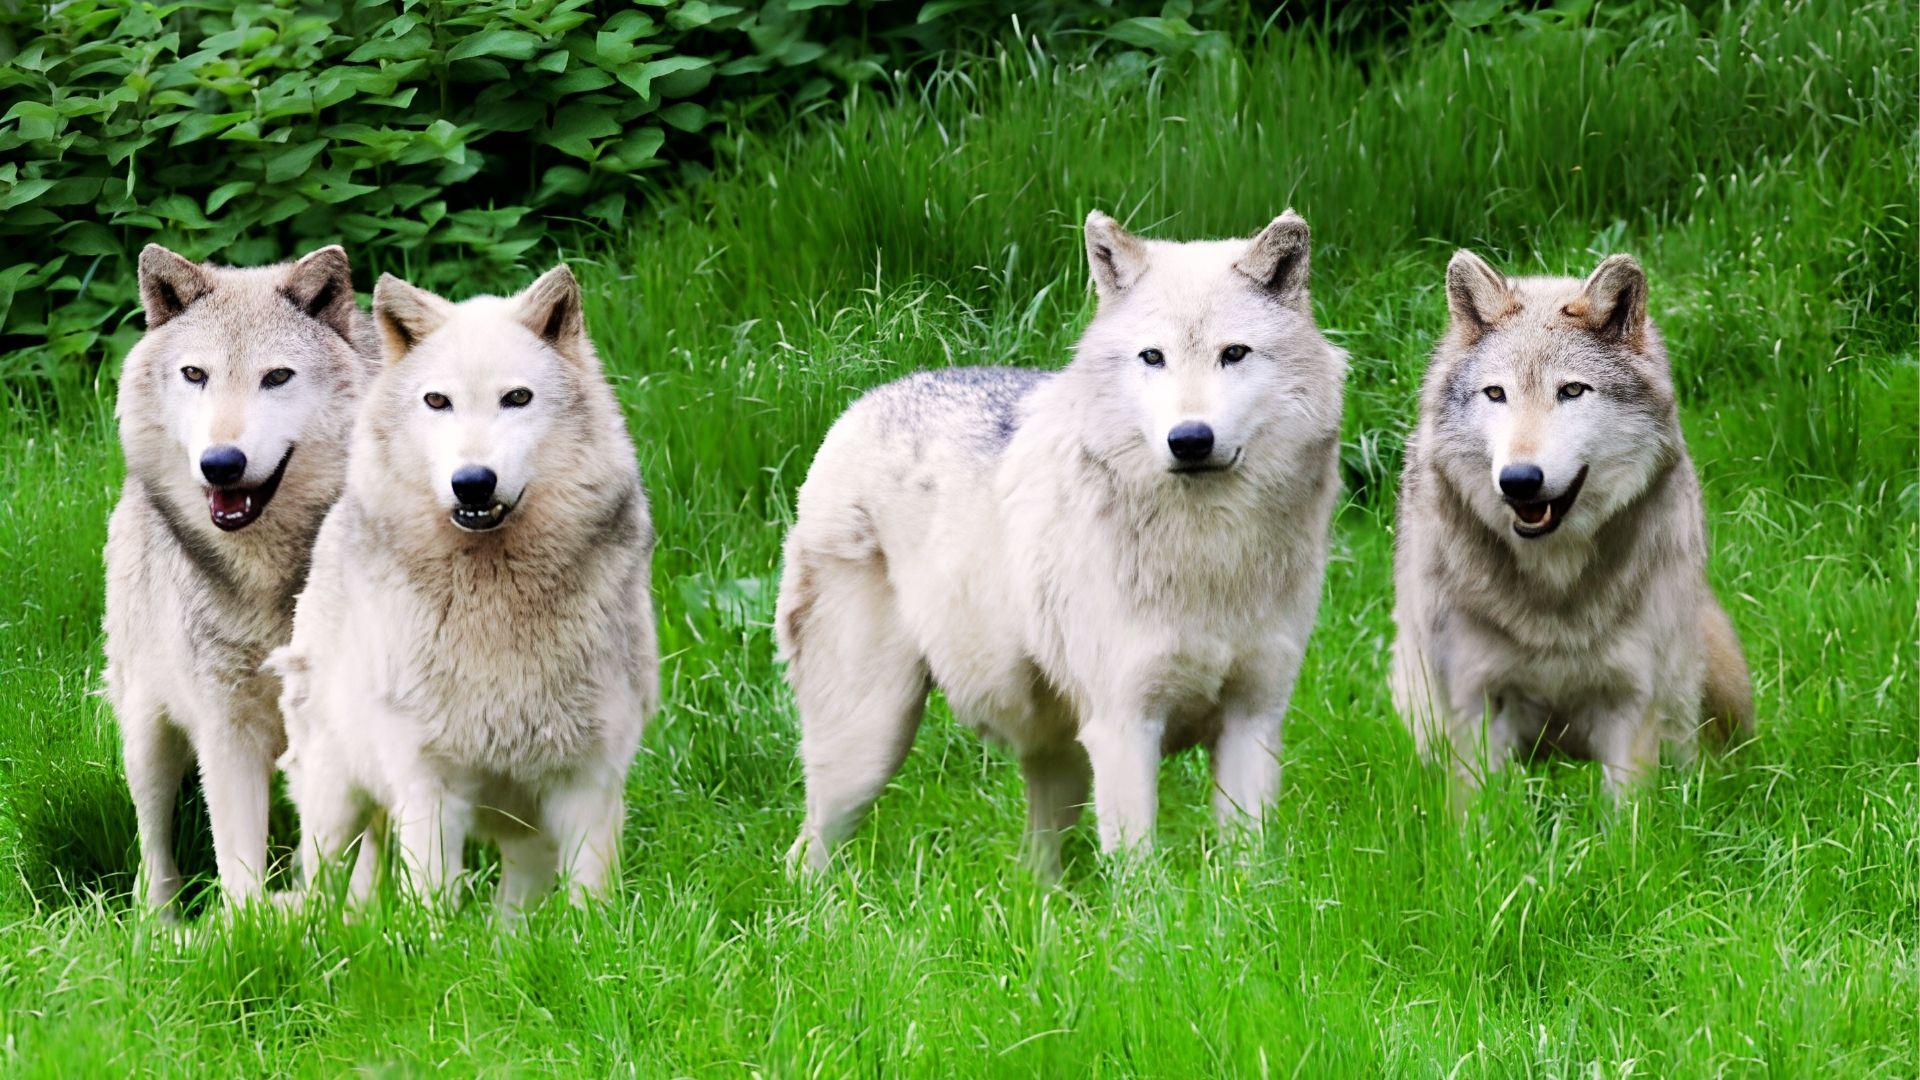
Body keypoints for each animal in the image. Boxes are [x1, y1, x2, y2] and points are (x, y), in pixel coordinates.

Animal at [104, 243, 377, 911]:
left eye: (276, 377)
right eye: (195, 374)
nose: (221, 464)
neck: (272, 581)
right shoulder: (226, 728)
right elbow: (239, 868)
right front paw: (251, 929)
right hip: (147, 737)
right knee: (154, 849)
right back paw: (160, 924)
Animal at [268, 265, 657, 910]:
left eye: (517, 398)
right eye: (437, 401)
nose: (473, 482)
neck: (493, 596)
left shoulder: (589, 783)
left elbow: (589, 910)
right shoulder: (427, 783)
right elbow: (432, 907)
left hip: (524, 836)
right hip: (335, 801)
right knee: (322, 888)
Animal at [776, 210, 1346, 875]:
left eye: (1234, 354)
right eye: (1153, 357)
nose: (1189, 439)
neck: (1210, 553)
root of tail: (860, 405)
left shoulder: (1253, 722)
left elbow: (1246, 872)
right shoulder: (1125, 727)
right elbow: (1141, 879)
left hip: (1059, 761)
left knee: (1034, 867)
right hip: (869, 747)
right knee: (803, 857)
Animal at [1389, 250, 1754, 797]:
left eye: (1572, 390)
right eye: (1495, 393)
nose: (1519, 480)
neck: (1554, 585)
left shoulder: (1632, 701)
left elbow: (1630, 814)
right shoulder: (1475, 701)